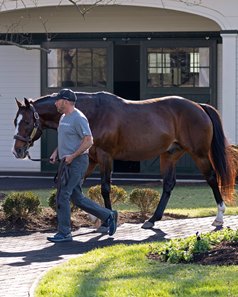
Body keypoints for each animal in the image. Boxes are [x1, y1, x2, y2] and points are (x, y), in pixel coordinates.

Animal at [12, 91, 235, 228]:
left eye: (27, 122)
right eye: (15, 121)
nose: (17, 151)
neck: (91, 114)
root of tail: (199, 106)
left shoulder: (105, 157)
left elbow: (105, 188)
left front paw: (108, 219)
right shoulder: (90, 159)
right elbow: (78, 186)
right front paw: (95, 216)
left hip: (199, 154)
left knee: (211, 178)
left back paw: (219, 217)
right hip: (169, 155)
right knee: (169, 184)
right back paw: (152, 219)